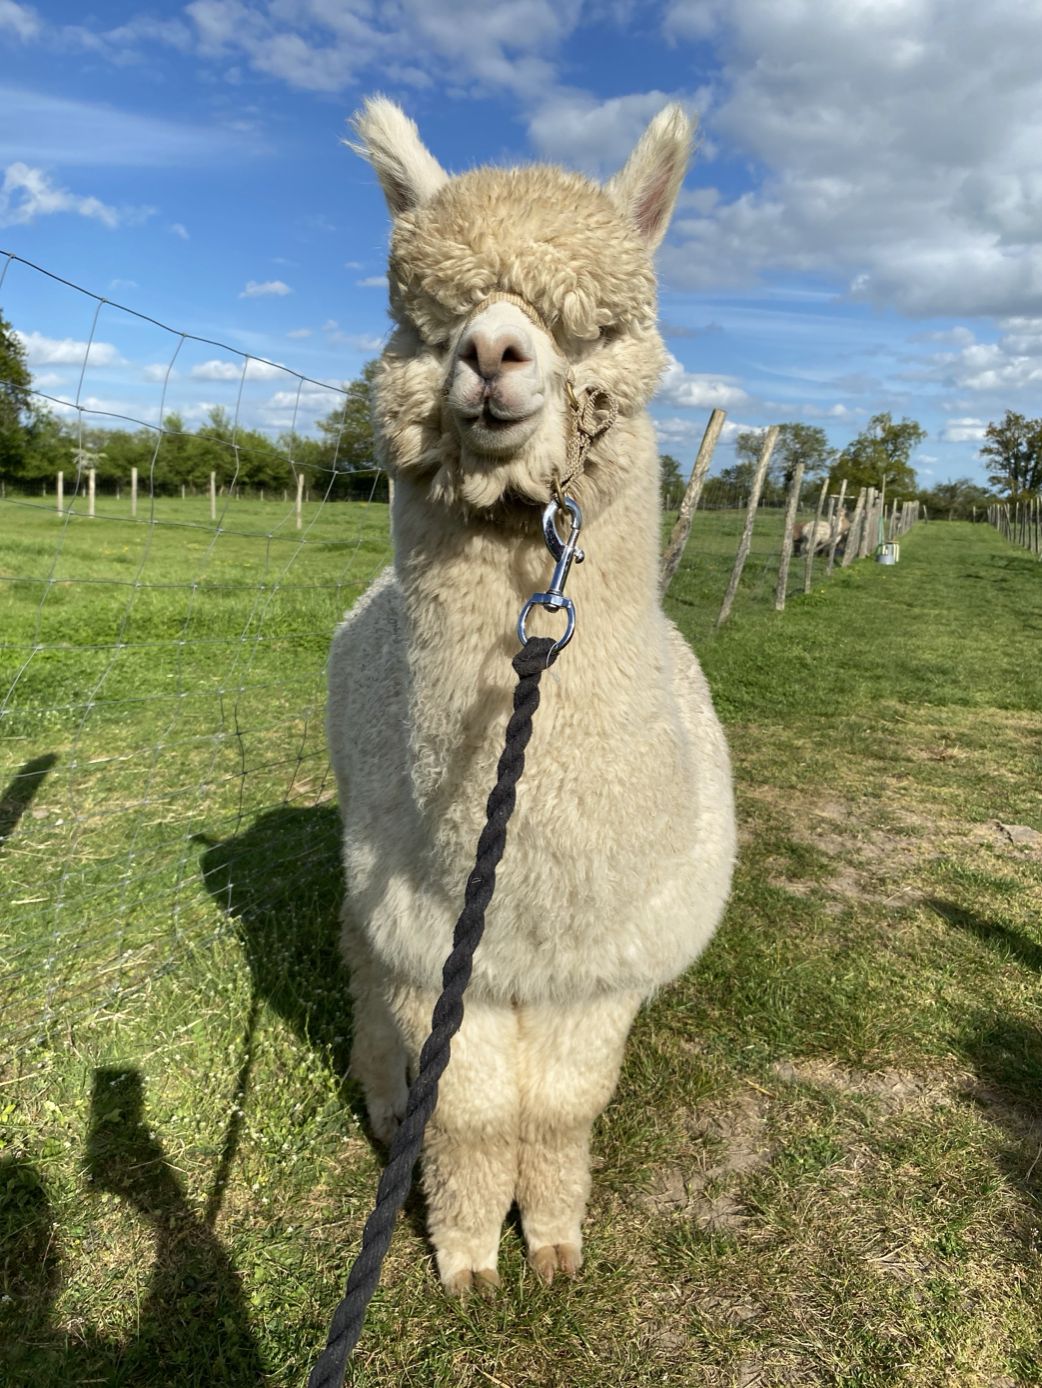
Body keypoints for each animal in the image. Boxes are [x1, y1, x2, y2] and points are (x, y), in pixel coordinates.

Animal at [326, 97, 736, 1294]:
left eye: (592, 327)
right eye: (427, 324)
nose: (489, 354)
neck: (524, 901)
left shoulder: (600, 972)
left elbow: (557, 1110)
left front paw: (550, 1238)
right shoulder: (434, 950)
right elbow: (461, 1112)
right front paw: (465, 1254)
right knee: (354, 953)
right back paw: (379, 1095)